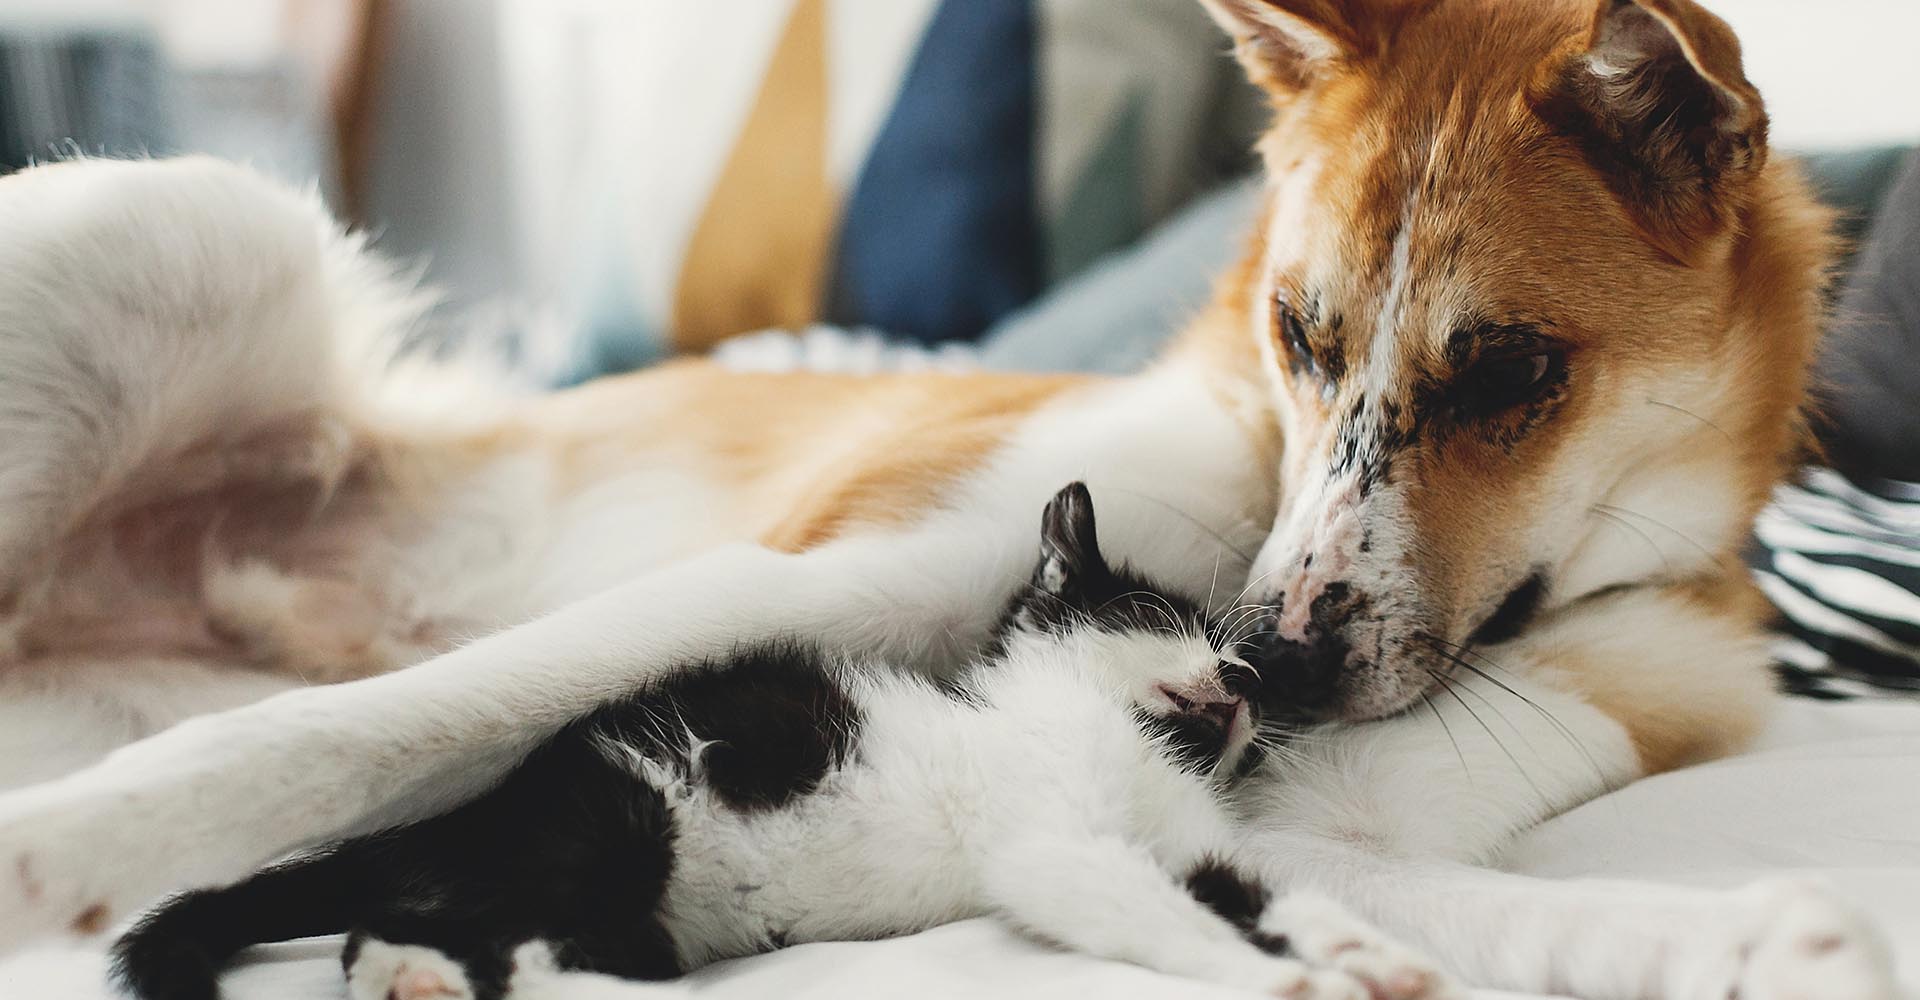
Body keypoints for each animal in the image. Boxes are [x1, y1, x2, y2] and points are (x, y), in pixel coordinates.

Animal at [112, 481, 1443, 998]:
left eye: (1244, 667)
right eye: (1165, 621)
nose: (1246, 678)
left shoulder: (1192, 844)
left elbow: (1256, 889)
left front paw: (1361, 949)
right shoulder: (1055, 840)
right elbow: (1155, 911)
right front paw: (1289, 975)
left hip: (622, 903)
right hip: (612, 826)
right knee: (384, 921)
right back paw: (423, 970)